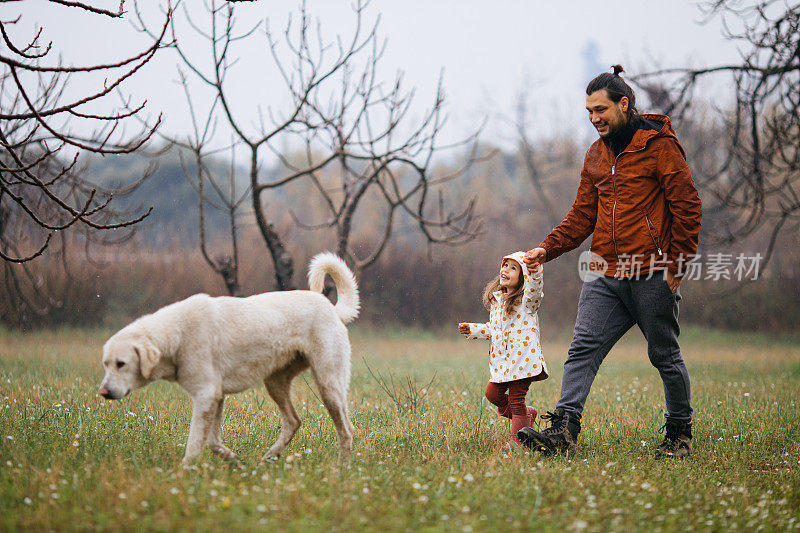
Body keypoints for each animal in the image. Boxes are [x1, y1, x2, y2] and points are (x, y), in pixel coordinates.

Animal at [99, 251, 360, 464]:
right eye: (106, 364)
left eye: (121, 364)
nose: (103, 393)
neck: (178, 334)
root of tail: (331, 308)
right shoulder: (216, 397)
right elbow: (212, 442)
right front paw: (235, 460)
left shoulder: (206, 396)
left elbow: (194, 446)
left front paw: (183, 476)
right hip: (275, 382)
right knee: (294, 421)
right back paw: (267, 458)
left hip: (328, 385)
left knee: (346, 430)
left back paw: (342, 470)